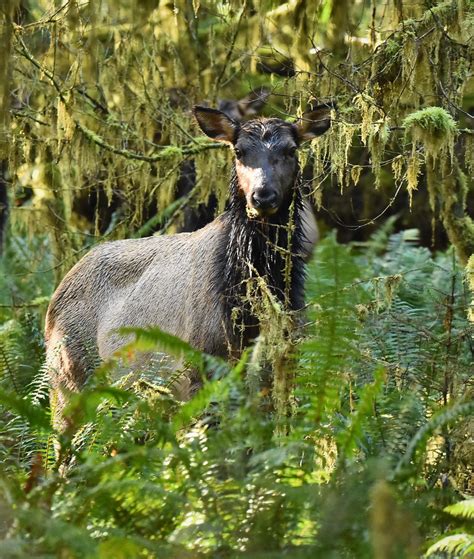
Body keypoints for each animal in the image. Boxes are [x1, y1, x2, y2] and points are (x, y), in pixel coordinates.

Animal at [46, 105, 332, 426]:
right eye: (239, 151)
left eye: (291, 149)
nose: (263, 195)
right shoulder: (199, 363)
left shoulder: (284, 359)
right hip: (68, 379)